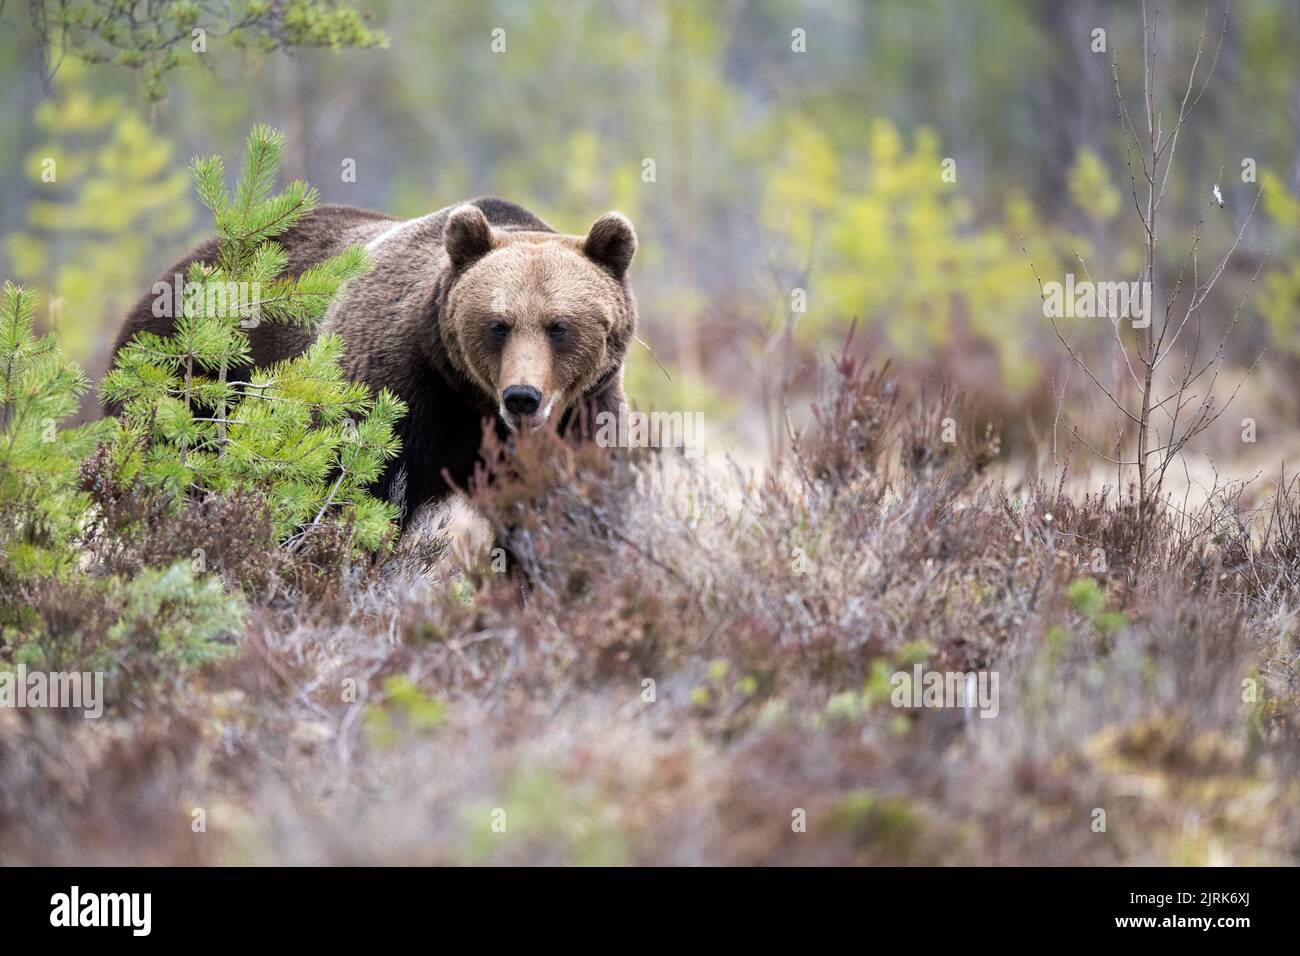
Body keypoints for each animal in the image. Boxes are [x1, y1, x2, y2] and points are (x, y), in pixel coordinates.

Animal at [109, 195, 637, 522]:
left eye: (558, 325)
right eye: (497, 324)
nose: (522, 397)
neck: (470, 400)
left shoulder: (585, 415)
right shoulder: (396, 393)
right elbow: (351, 494)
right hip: (183, 385)